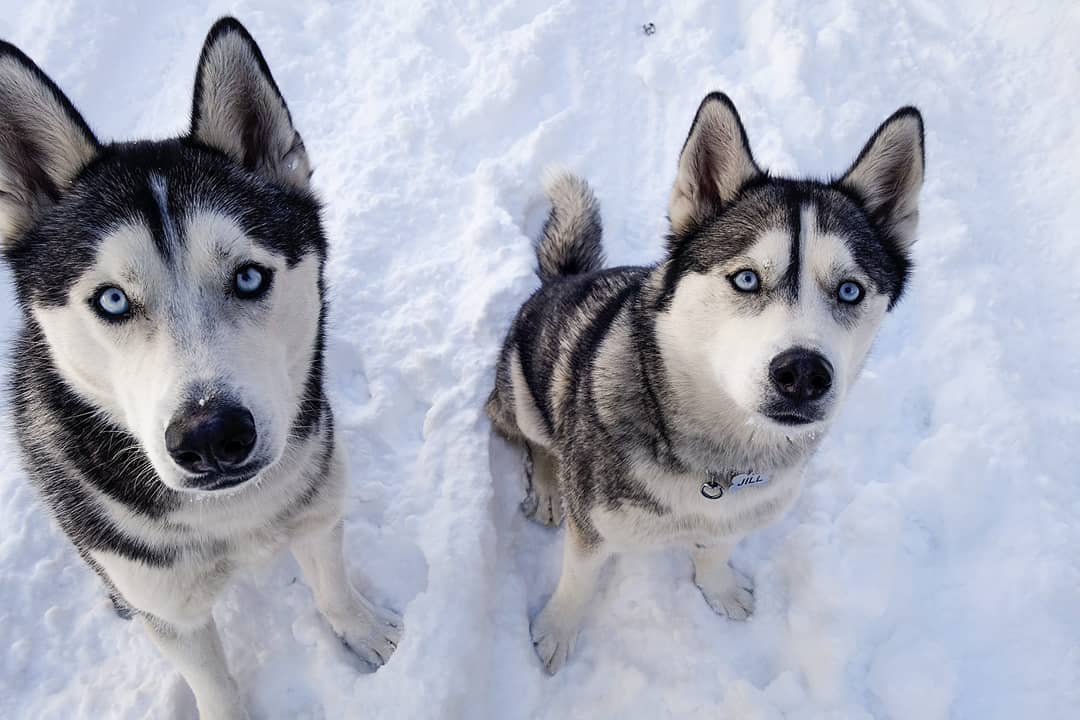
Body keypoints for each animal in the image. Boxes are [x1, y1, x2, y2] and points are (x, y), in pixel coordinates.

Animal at [0, 18, 401, 720]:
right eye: (112, 299)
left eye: (248, 276)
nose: (211, 435)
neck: (232, 517)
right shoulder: (172, 611)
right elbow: (214, 683)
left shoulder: (317, 507)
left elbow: (331, 586)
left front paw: (365, 632)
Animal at [488, 92, 920, 673]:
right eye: (746, 278)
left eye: (849, 290)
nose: (803, 374)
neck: (718, 465)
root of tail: (567, 277)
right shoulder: (594, 524)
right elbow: (578, 577)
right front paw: (556, 631)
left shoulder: (736, 517)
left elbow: (715, 551)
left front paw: (720, 590)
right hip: (520, 391)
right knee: (536, 442)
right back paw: (550, 488)